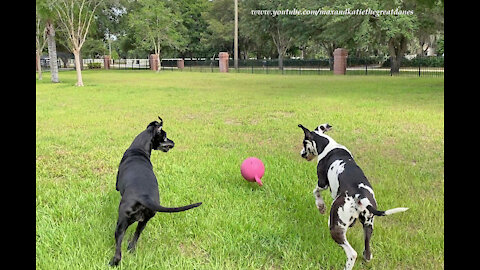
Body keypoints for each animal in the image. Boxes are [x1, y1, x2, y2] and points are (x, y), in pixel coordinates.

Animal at [109, 116, 202, 266]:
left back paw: (113, 262)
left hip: (122, 222)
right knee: (136, 236)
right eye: (165, 136)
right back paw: (131, 248)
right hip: (143, 221)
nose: (173, 142)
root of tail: (144, 197)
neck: (138, 148)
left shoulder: (117, 185)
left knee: (119, 246)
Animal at [298, 123, 406, 270]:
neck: (328, 145)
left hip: (335, 227)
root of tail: (361, 195)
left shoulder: (322, 183)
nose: (301, 154)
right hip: (368, 225)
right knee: (367, 253)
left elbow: (316, 192)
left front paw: (321, 206)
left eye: (304, 143)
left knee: (352, 253)